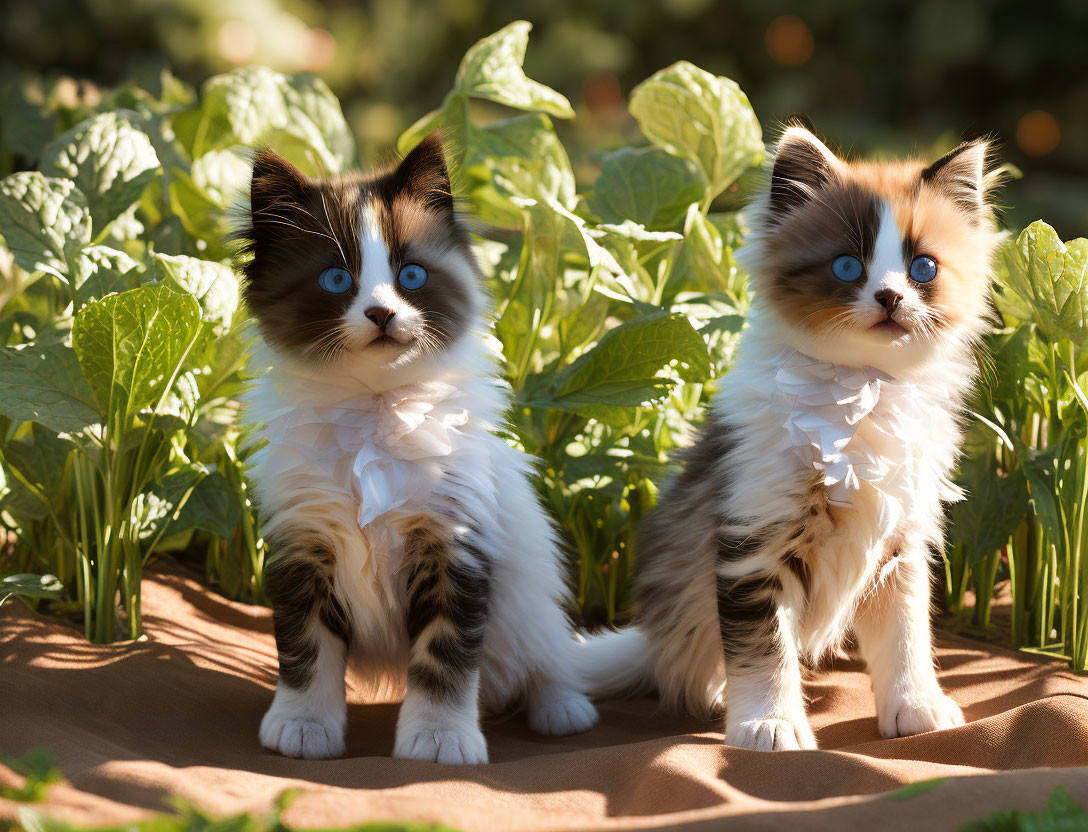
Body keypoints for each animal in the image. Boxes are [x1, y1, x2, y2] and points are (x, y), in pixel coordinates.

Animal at [232, 133, 600, 761]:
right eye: (337, 280)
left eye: (411, 276)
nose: (382, 313)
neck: (374, 408)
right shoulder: (304, 541)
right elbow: (305, 653)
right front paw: (303, 728)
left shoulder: (455, 543)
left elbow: (443, 658)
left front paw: (438, 740)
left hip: (533, 591)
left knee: (549, 658)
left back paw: (563, 710)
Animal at [583, 126, 996, 748]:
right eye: (847, 266)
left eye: (923, 267)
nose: (891, 297)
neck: (861, 388)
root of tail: (653, 637)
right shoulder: (753, 534)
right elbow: (762, 645)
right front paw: (768, 724)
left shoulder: (900, 542)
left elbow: (906, 637)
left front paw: (917, 707)